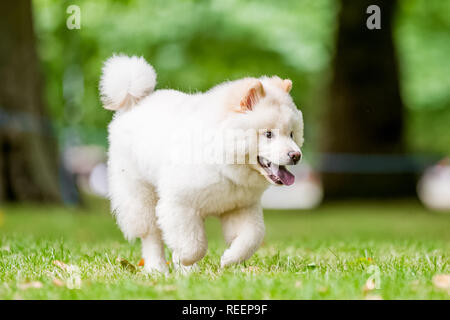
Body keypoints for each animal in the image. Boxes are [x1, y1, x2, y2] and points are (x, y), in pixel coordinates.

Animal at [100, 54, 304, 272]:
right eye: (268, 134)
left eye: (292, 134)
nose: (296, 155)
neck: (223, 163)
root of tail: (135, 103)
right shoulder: (180, 205)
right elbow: (194, 246)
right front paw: (184, 260)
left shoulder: (240, 207)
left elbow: (252, 238)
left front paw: (229, 259)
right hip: (139, 195)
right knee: (151, 236)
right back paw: (158, 268)